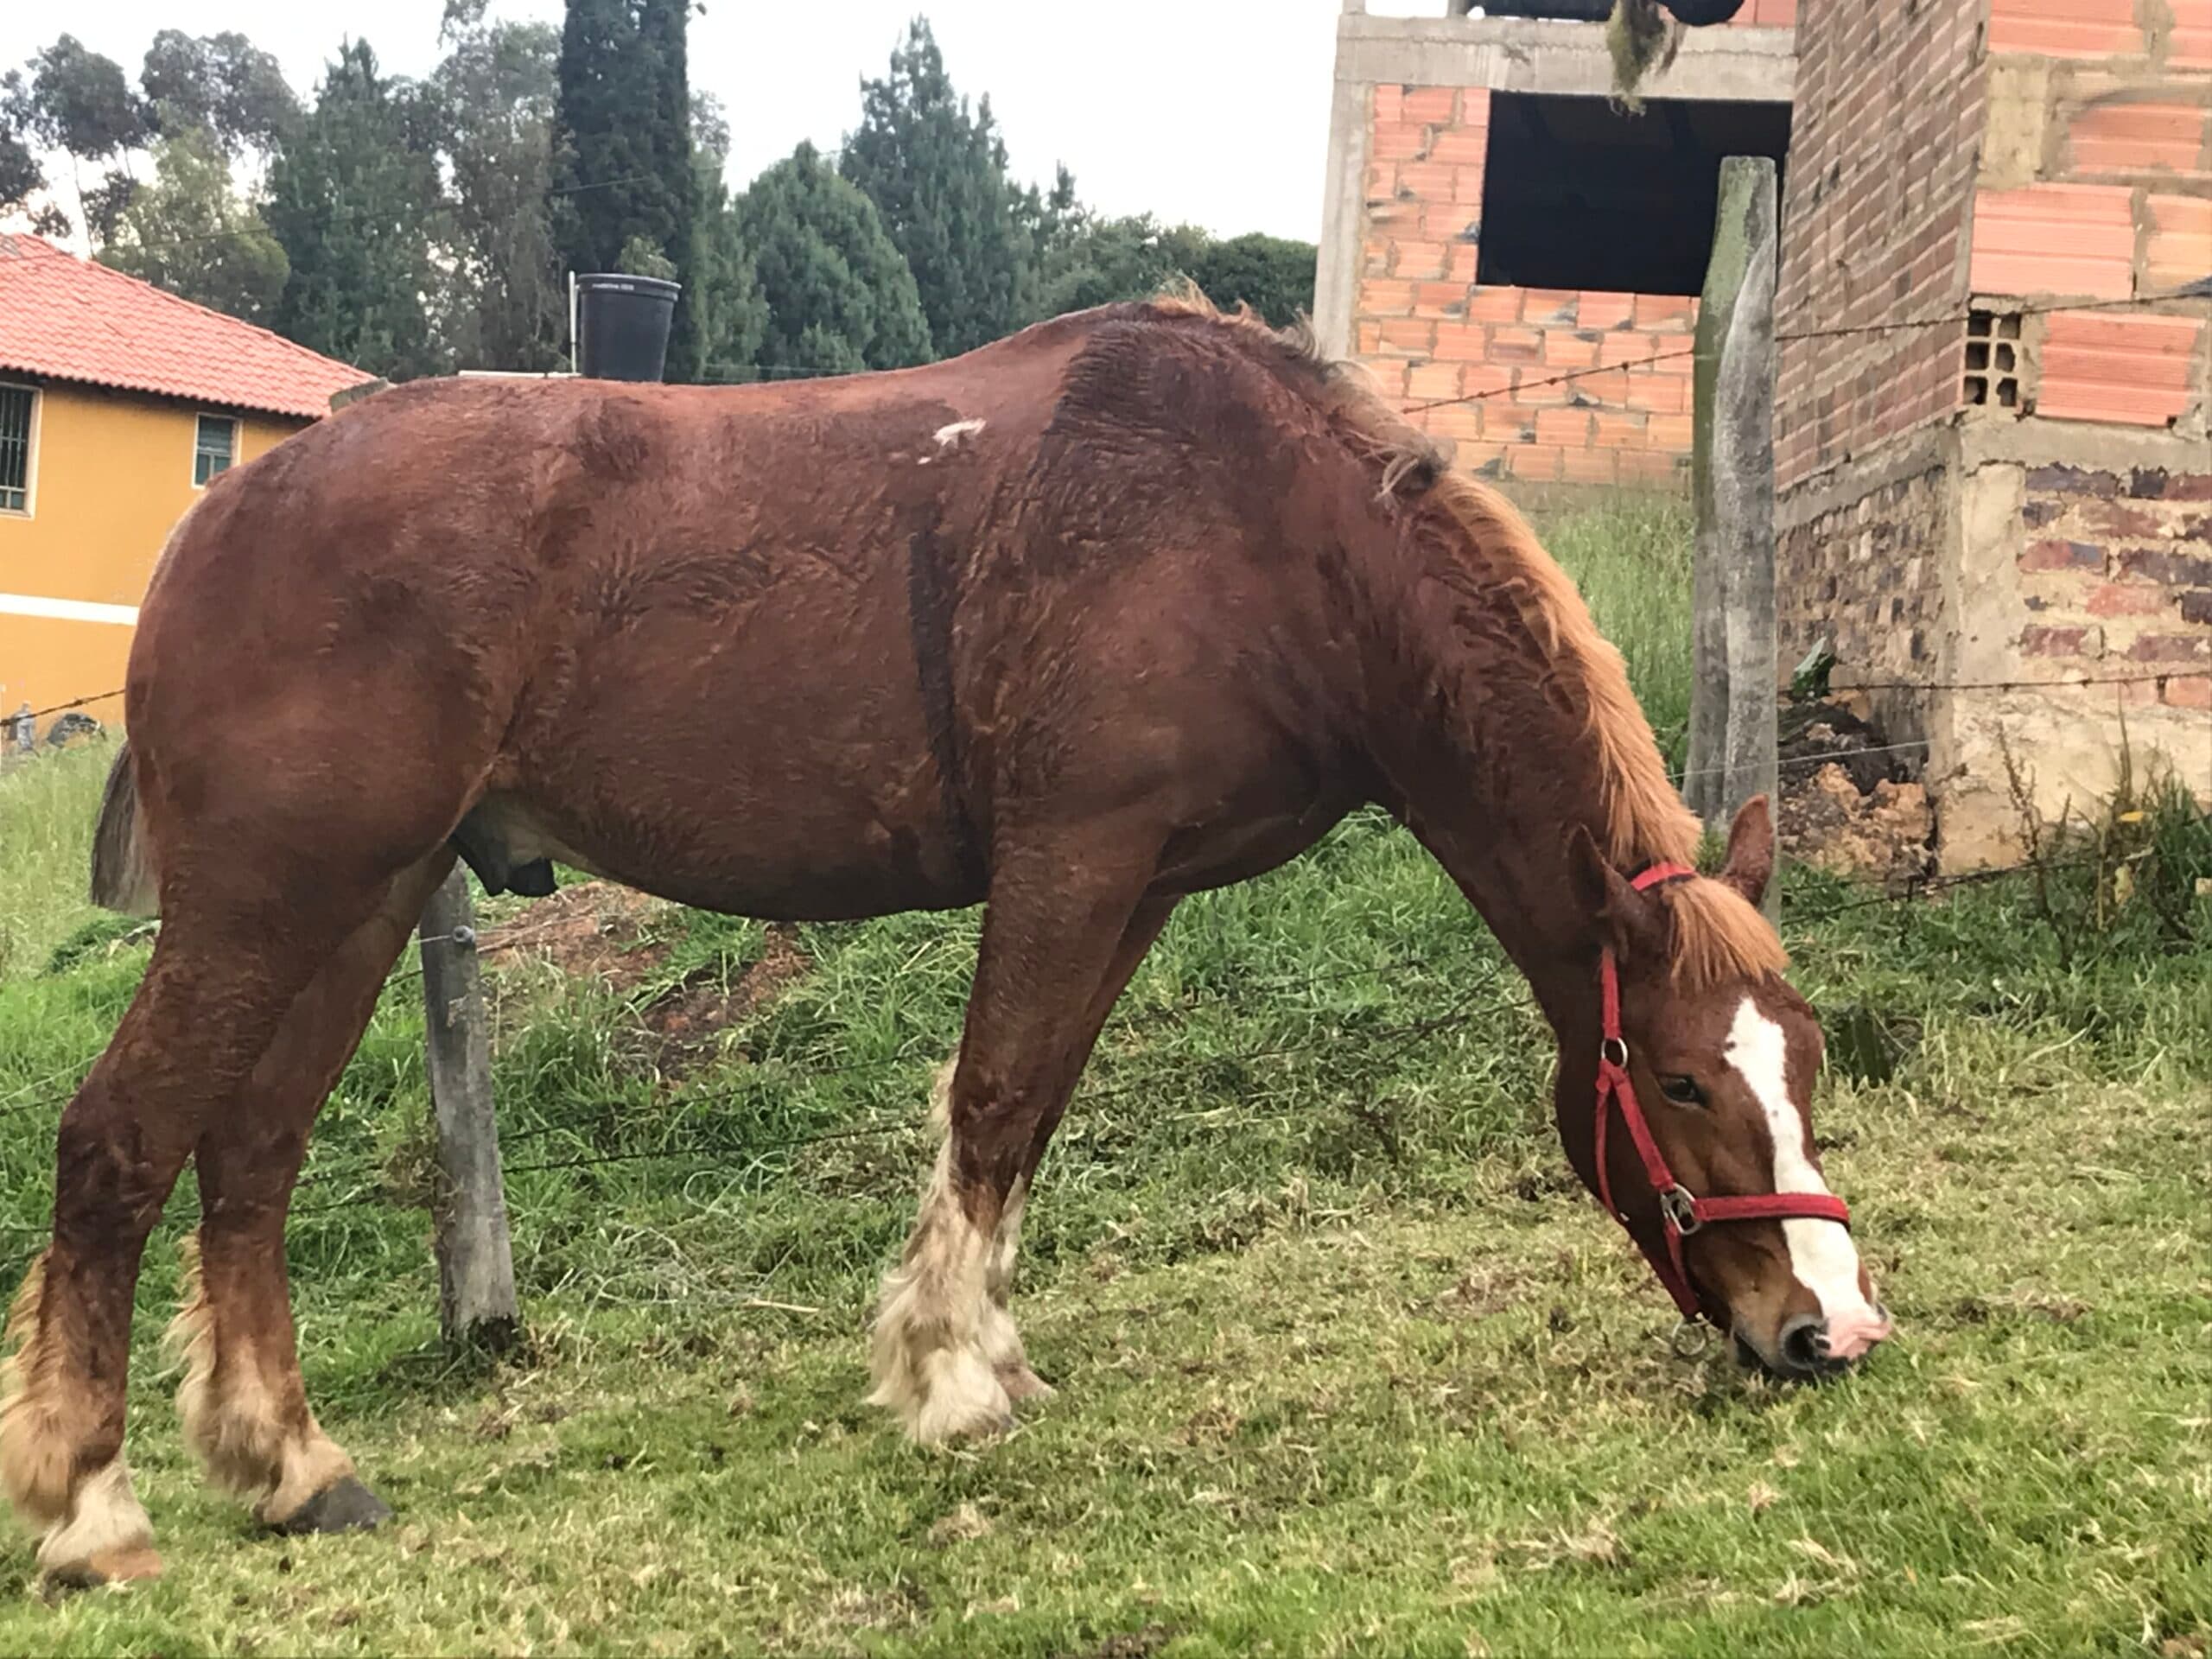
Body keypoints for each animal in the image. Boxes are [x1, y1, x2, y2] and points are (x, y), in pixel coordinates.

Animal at [0, 295, 1889, 1587]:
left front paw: (977, 1348)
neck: (1261, 536)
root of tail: (227, 511)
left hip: (364, 897)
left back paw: (289, 1466)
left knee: (247, 1158)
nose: (1831, 1333)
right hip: (269, 901)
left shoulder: (1134, 885)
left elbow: (1030, 1110)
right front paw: (948, 1379)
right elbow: (989, 1100)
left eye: (1802, 1060)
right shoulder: (1072, 858)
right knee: (119, 1147)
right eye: (1671, 1079)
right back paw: (91, 1508)